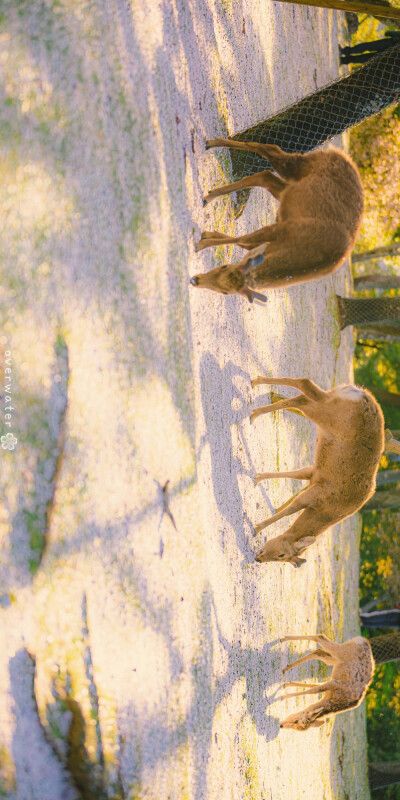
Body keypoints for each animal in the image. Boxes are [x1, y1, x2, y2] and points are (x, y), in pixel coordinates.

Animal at [189, 139, 364, 302]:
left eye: (225, 292)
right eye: (223, 266)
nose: (195, 280)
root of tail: (338, 153)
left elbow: (243, 243)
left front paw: (205, 236)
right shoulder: (282, 228)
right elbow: (242, 240)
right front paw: (199, 244)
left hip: (288, 188)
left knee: (265, 175)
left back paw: (209, 194)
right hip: (296, 166)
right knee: (268, 149)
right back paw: (211, 145)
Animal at [250, 378, 384, 564]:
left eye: (281, 557)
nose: (259, 559)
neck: (329, 510)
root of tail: (360, 393)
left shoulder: (314, 474)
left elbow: (295, 474)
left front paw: (258, 478)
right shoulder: (315, 494)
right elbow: (289, 510)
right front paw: (256, 528)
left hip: (330, 403)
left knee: (304, 395)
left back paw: (255, 386)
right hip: (329, 413)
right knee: (304, 389)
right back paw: (254, 410)